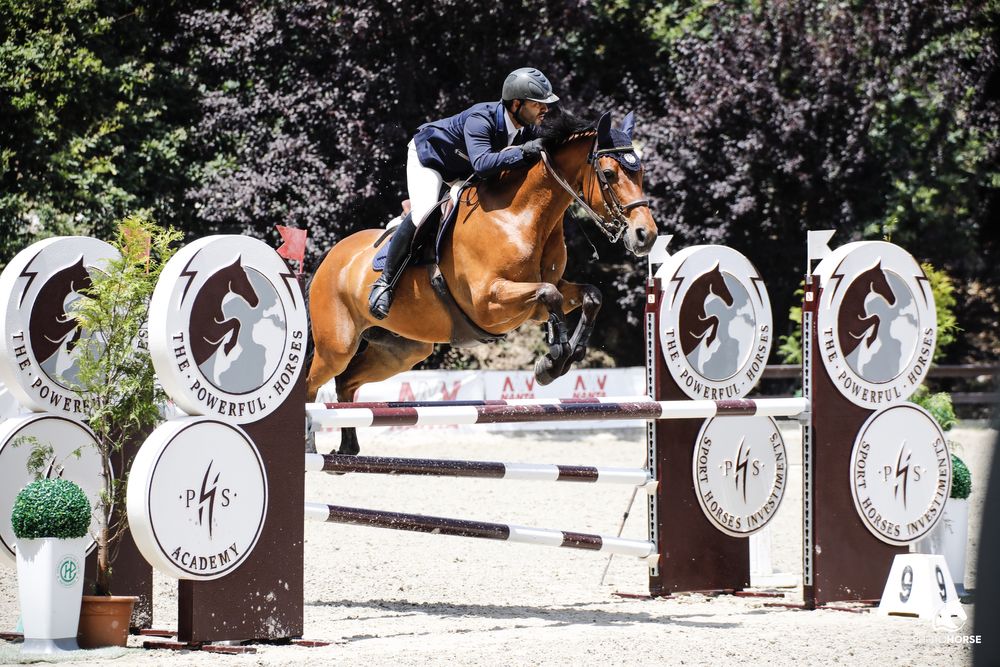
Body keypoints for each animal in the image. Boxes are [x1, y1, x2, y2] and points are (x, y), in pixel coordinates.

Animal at [307, 110, 658, 455]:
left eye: (641, 173)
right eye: (609, 173)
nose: (646, 236)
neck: (520, 217)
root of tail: (329, 260)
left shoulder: (538, 299)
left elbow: (589, 295)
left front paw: (568, 354)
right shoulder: (487, 302)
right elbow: (550, 295)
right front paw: (553, 360)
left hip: (401, 351)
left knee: (347, 382)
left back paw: (347, 448)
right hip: (337, 346)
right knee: (312, 385)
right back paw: (311, 444)